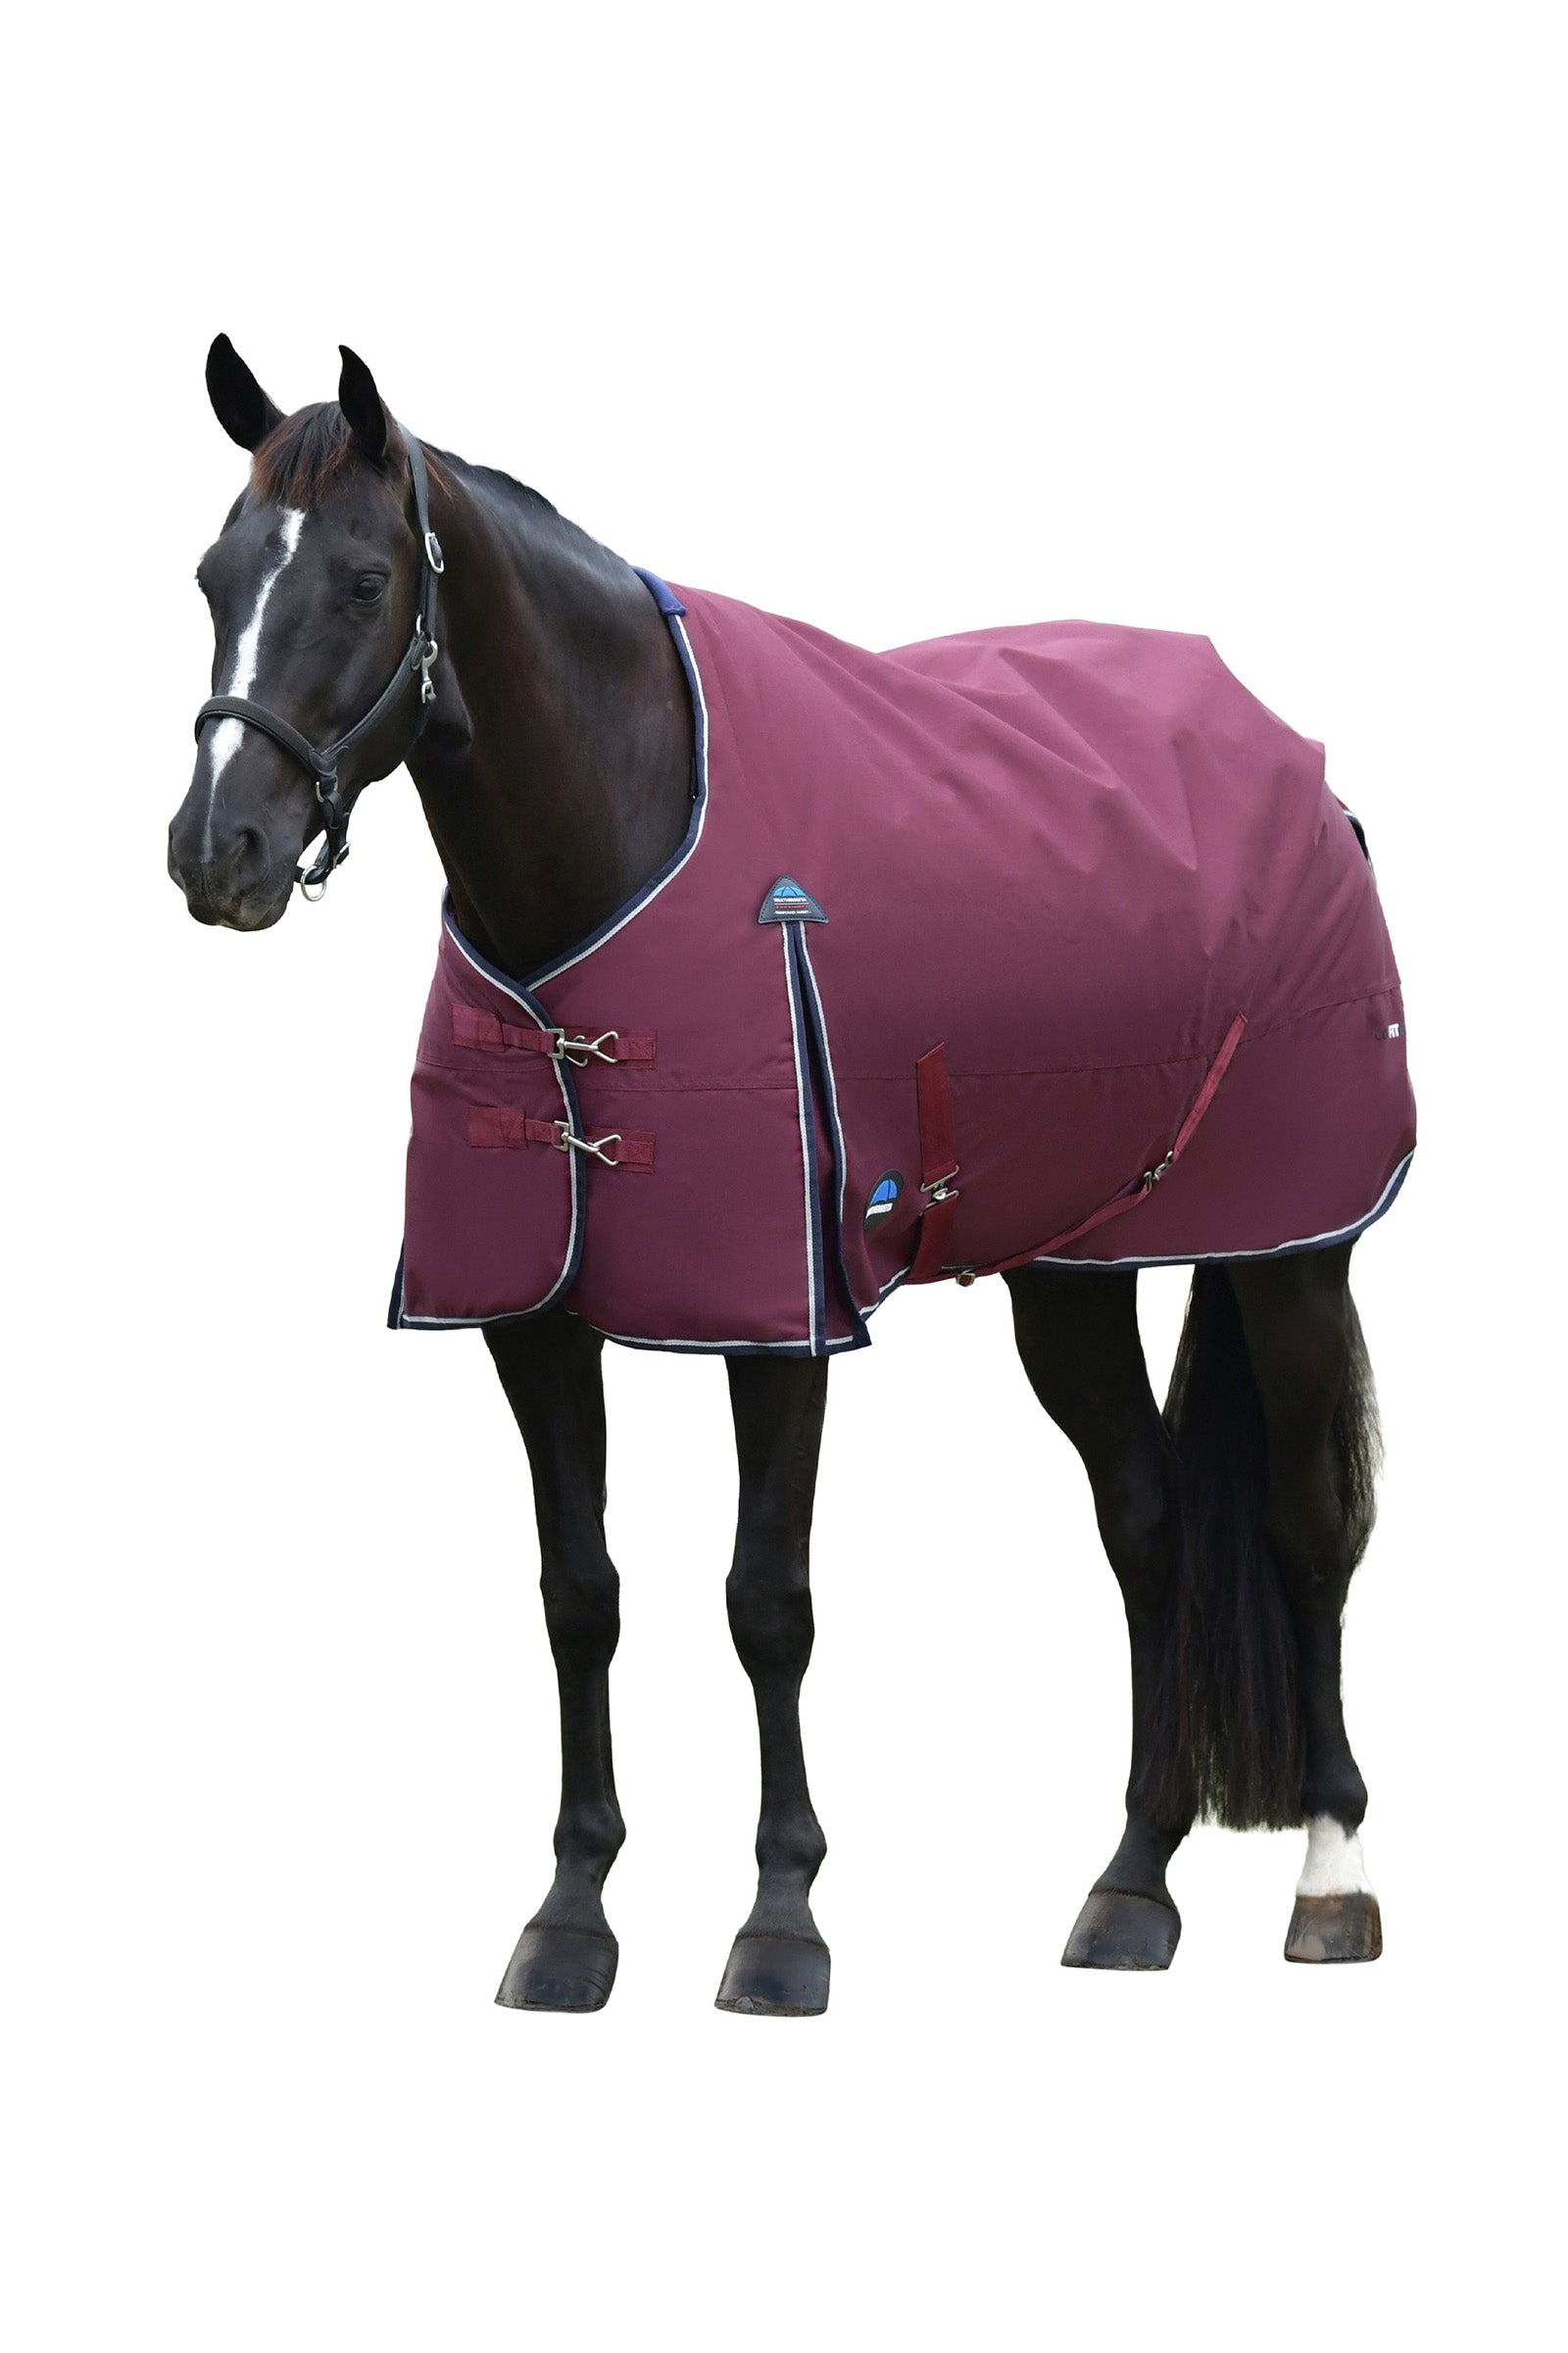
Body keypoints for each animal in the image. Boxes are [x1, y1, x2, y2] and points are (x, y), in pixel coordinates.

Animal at [169, 338, 1405, 2013]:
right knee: (1146, 1523)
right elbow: (579, 1595)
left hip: (1291, 1255)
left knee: (1303, 1523)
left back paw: (1333, 1876)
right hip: (1073, 1276)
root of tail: (1297, 768)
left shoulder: (782, 1315)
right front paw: (571, 1917)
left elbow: (768, 1602)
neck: (620, 846)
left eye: (365, 581)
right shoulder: (530, 1323)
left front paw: (779, 1921)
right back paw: (1131, 1887)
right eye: (214, 575)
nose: (215, 851)